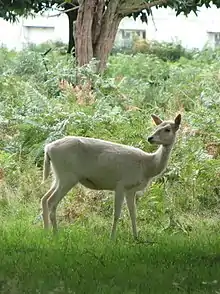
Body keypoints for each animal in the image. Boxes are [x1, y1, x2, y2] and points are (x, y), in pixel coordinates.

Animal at [40, 113, 181, 240]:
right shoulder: (121, 184)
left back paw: (46, 231)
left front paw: (136, 237)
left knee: (44, 198)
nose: (150, 138)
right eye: (157, 127)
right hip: (68, 176)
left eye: (167, 129)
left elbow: (133, 213)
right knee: (51, 201)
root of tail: (48, 148)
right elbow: (116, 214)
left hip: (58, 175)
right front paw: (112, 238)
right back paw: (55, 234)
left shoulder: (131, 189)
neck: (147, 167)